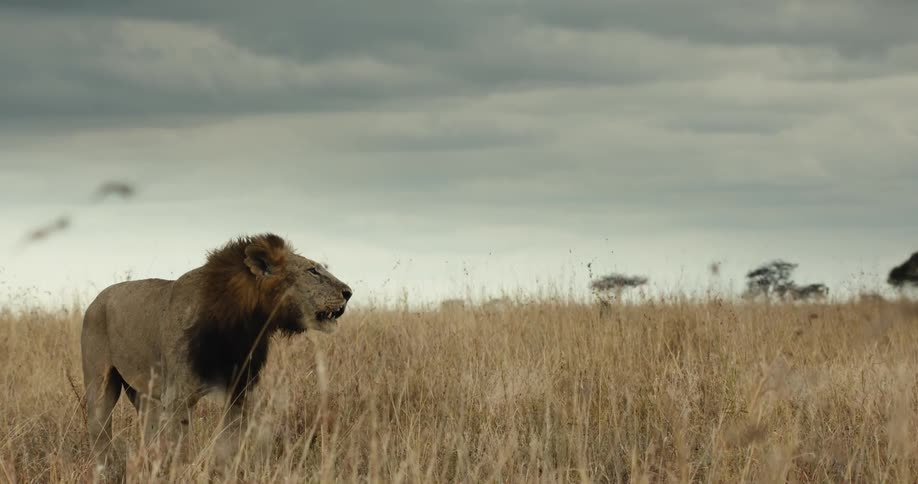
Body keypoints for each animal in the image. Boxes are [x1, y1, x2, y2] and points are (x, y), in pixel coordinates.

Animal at [80, 233, 352, 475]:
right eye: (313, 271)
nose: (349, 292)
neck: (244, 325)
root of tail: (95, 300)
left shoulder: (240, 392)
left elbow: (229, 445)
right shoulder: (177, 397)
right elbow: (180, 449)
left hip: (143, 393)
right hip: (100, 385)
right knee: (100, 431)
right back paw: (105, 471)